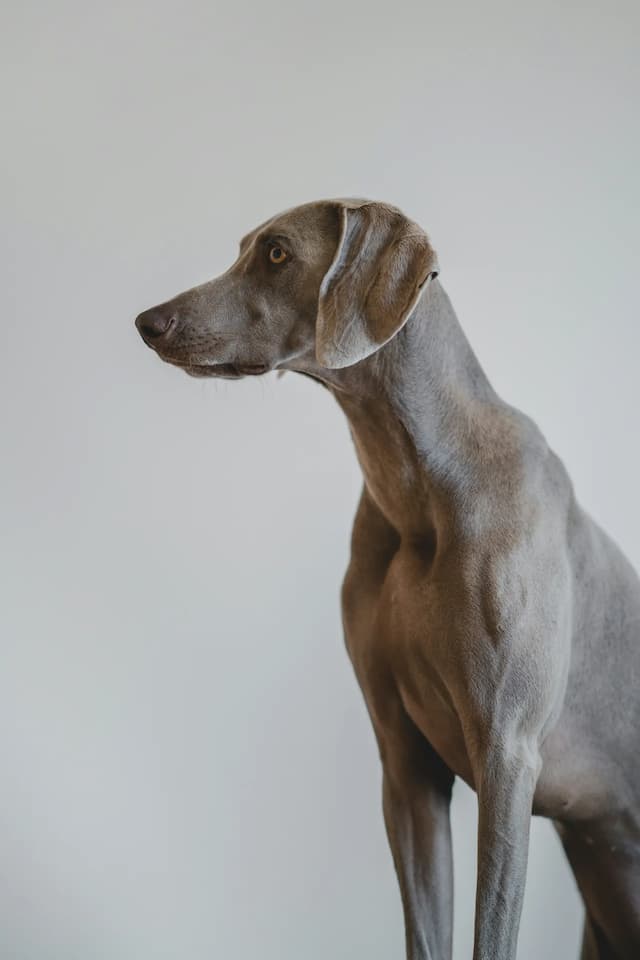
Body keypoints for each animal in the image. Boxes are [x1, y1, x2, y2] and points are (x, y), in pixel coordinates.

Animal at [135, 199, 640, 956]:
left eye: (277, 253)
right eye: (244, 248)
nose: (148, 321)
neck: (419, 490)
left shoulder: (508, 758)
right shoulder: (405, 764)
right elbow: (424, 931)